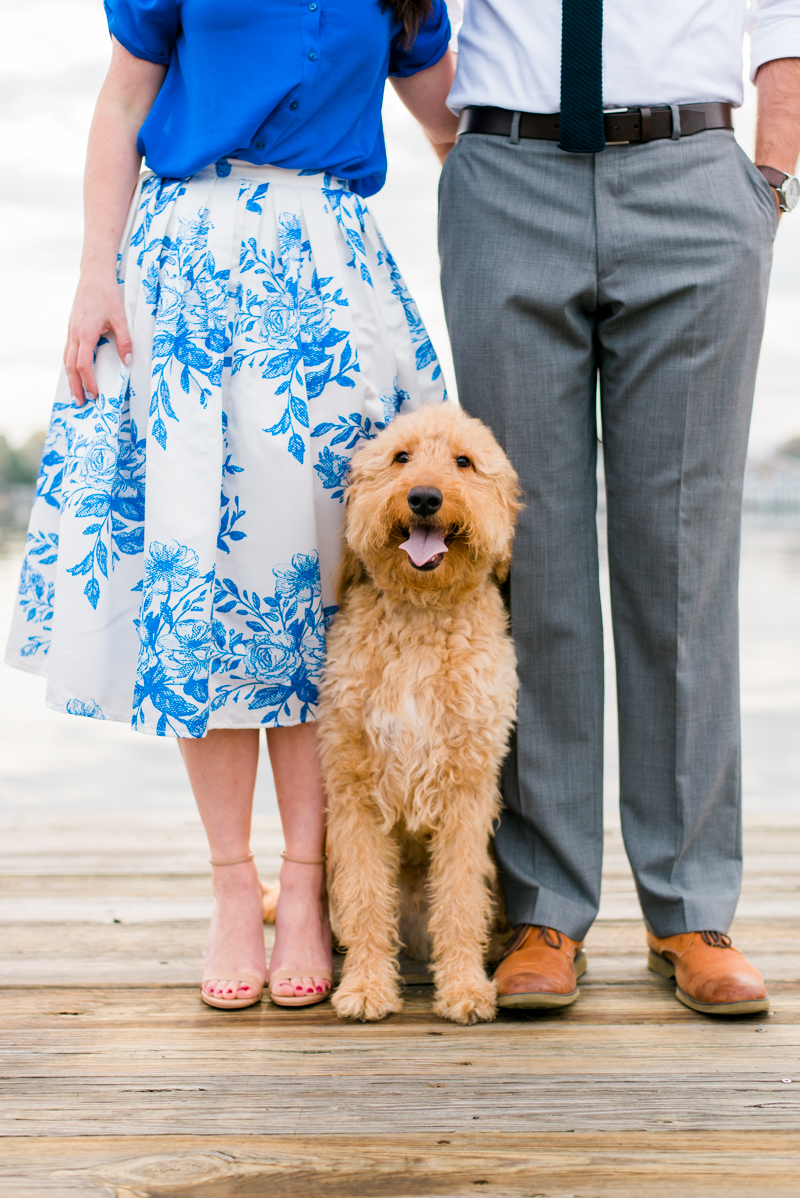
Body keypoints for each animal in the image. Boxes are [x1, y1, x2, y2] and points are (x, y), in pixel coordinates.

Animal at [316, 402, 519, 1020]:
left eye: (464, 462)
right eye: (401, 456)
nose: (425, 497)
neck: (421, 617)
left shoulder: (467, 793)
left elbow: (459, 897)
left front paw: (465, 988)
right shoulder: (353, 789)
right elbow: (363, 897)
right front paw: (365, 986)